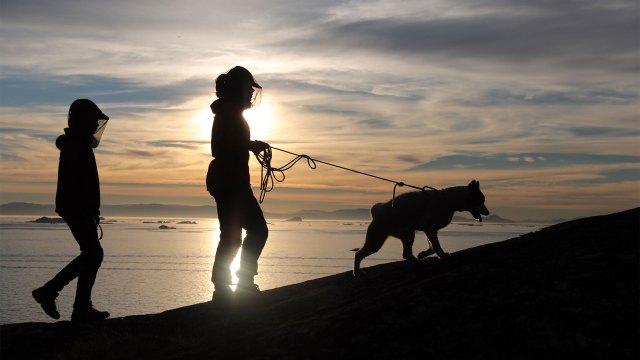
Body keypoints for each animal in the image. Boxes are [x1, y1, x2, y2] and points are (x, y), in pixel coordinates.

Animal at [356, 180, 490, 276]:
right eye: (480, 200)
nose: (488, 212)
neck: (448, 201)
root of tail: (377, 210)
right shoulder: (429, 227)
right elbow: (436, 245)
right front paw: (443, 255)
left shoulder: (431, 230)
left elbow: (432, 246)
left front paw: (423, 254)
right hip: (376, 240)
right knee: (358, 254)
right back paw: (357, 272)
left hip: (408, 234)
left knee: (406, 254)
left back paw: (420, 261)